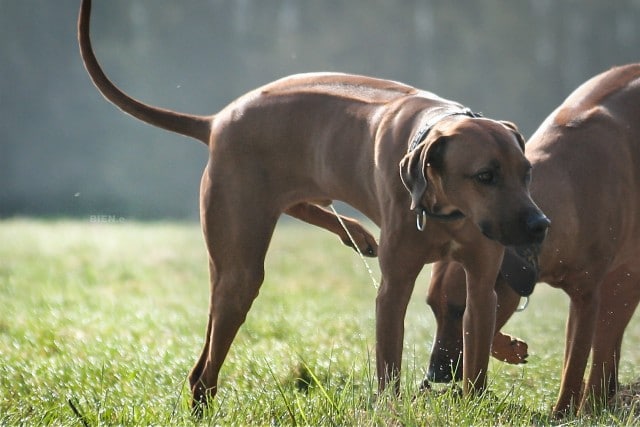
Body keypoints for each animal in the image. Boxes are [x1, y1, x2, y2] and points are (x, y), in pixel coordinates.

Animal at [77, 0, 548, 408]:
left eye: (527, 172)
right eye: (484, 176)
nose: (540, 225)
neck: (444, 208)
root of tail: (217, 121)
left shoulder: (481, 282)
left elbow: (476, 352)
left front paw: (473, 402)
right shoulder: (394, 287)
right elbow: (389, 363)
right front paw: (391, 408)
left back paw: (356, 234)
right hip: (240, 261)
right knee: (205, 367)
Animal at [428, 64, 640, 418]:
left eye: (459, 311)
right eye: (433, 308)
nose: (435, 374)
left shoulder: (587, 296)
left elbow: (574, 364)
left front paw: (562, 414)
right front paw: (509, 347)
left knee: (603, 347)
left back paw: (595, 403)